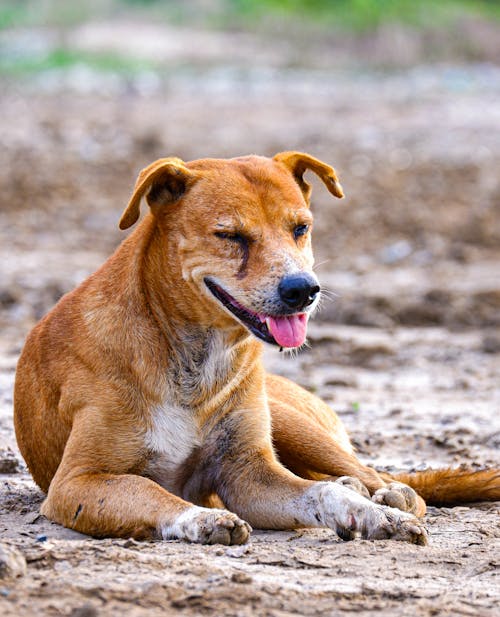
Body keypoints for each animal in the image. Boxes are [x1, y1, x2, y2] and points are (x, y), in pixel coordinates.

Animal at [13, 150, 498, 544]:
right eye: (230, 236)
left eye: (301, 229)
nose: (303, 290)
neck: (196, 356)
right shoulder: (77, 482)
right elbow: (148, 490)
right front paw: (201, 519)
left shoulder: (247, 473)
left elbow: (321, 493)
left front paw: (372, 514)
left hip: (289, 422)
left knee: (380, 480)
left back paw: (381, 494)